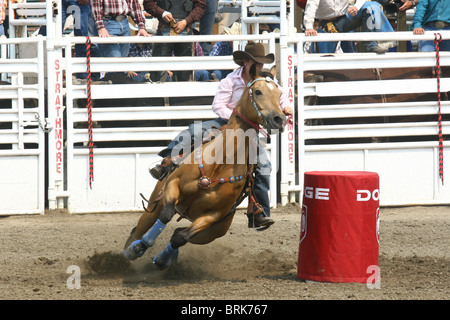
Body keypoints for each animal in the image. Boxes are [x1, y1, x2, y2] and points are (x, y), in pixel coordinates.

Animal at [121, 67, 286, 270]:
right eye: (258, 91)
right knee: (141, 227)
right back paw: (129, 251)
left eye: (279, 94)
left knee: (178, 232)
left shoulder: (213, 216)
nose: (279, 119)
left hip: (213, 232)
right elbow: (167, 215)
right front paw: (140, 247)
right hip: (155, 202)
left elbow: (181, 237)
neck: (221, 162)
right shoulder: (173, 185)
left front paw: (160, 260)